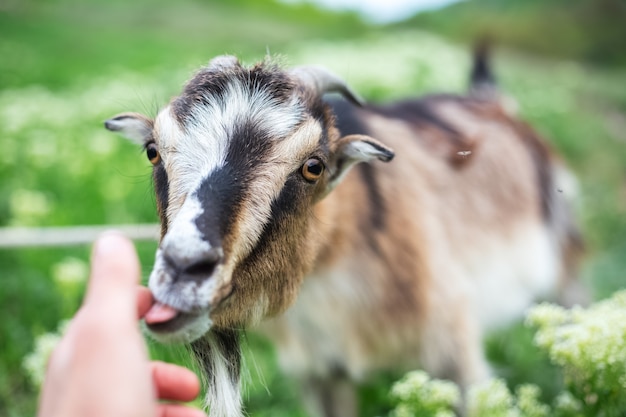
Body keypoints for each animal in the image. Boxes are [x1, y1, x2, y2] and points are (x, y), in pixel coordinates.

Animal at [106, 52, 580, 416]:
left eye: (313, 166)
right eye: (152, 151)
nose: (184, 268)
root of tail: (496, 103)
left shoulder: (455, 354)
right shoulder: (319, 369)